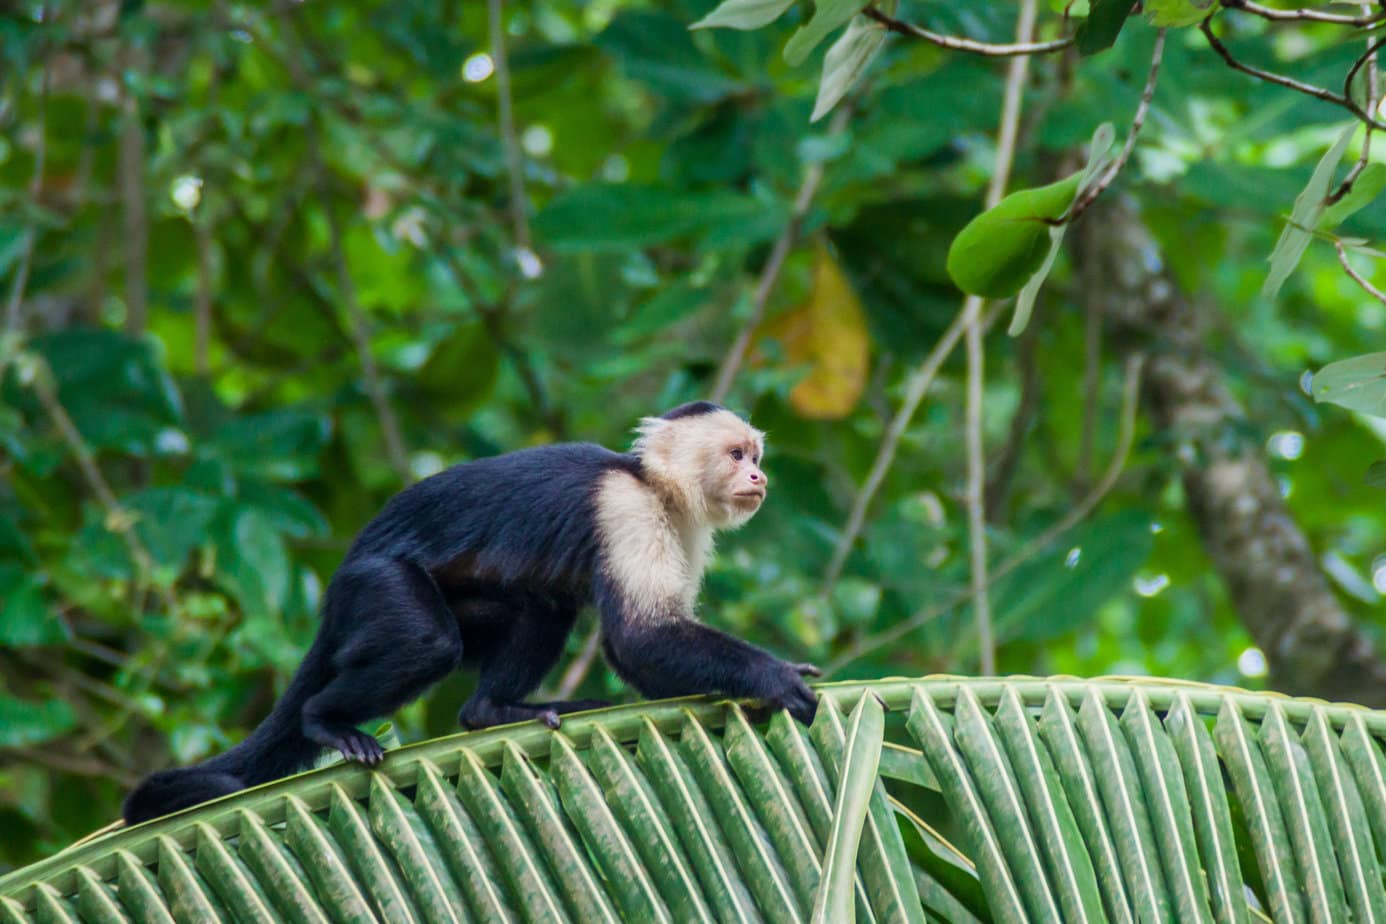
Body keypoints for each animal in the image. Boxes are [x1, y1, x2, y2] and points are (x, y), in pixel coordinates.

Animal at [122, 401, 819, 825]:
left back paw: (494, 711)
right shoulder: (628, 509)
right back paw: (326, 720)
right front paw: (774, 678)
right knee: (426, 640)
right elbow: (641, 637)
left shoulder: (689, 528)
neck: (654, 485)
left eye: (755, 455)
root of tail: (341, 581)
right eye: (736, 455)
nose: (758, 478)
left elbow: (642, 648)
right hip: (374, 585)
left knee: (541, 608)